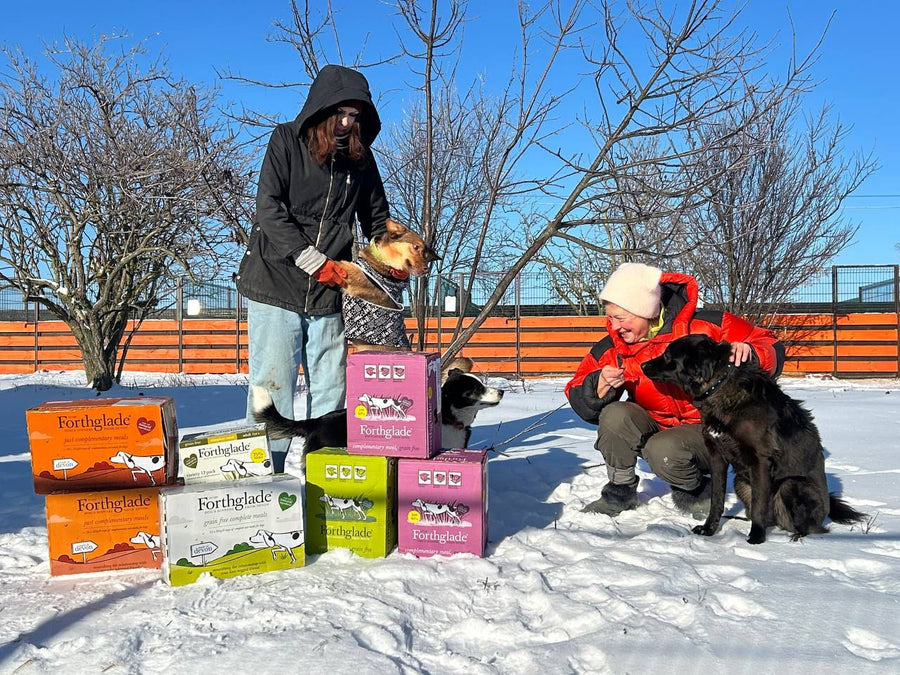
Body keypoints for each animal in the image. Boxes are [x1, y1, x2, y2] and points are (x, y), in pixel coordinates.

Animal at [641, 334, 866, 544]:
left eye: (668, 355)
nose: (643, 365)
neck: (719, 386)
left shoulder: (760, 461)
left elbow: (759, 504)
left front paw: (756, 537)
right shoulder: (716, 457)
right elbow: (716, 499)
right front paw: (709, 529)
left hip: (791, 484)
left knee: (810, 527)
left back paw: (796, 537)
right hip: (740, 481)